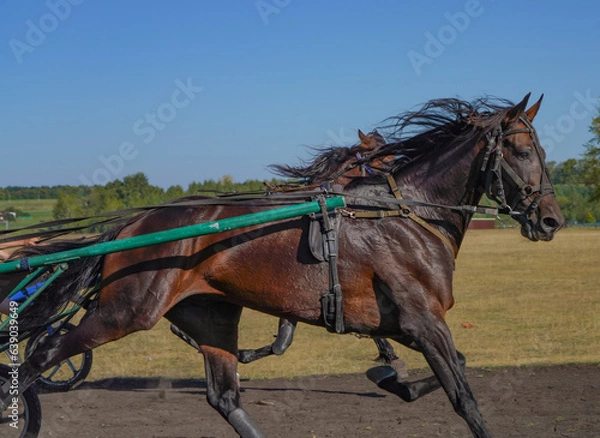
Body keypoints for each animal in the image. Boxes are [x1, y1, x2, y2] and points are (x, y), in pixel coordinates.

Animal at [2, 92, 564, 434]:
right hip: (126, 312)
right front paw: (399, 379)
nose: (552, 219)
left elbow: (451, 367)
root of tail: (136, 223)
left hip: (211, 315)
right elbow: (463, 396)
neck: (403, 214)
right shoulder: (422, 320)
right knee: (42, 354)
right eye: (520, 149)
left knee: (225, 398)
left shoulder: (404, 323)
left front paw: (393, 379)